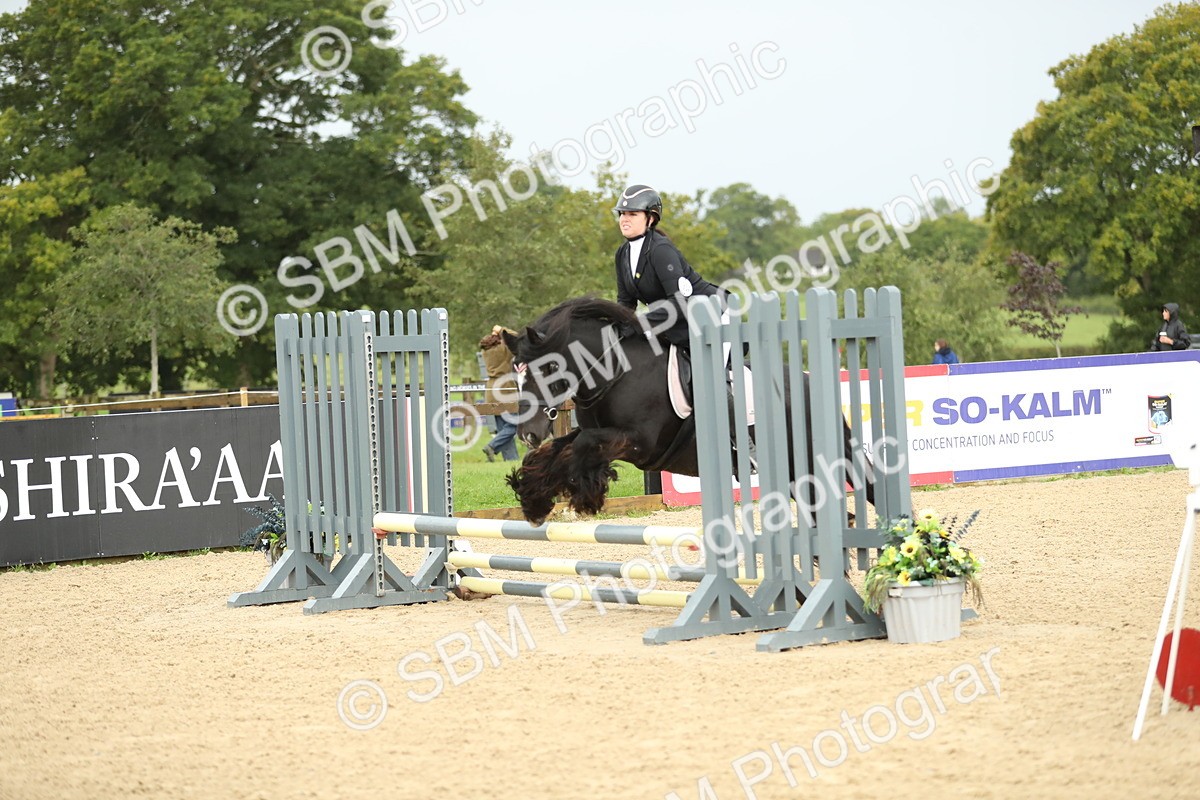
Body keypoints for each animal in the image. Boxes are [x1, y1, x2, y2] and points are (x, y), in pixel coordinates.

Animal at [501, 296, 873, 525]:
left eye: (549, 368)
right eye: (516, 372)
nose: (528, 433)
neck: (615, 373)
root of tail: (811, 380)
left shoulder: (638, 442)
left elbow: (579, 449)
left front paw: (585, 495)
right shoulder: (596, 433)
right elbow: (556, 451)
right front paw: (533, 498)